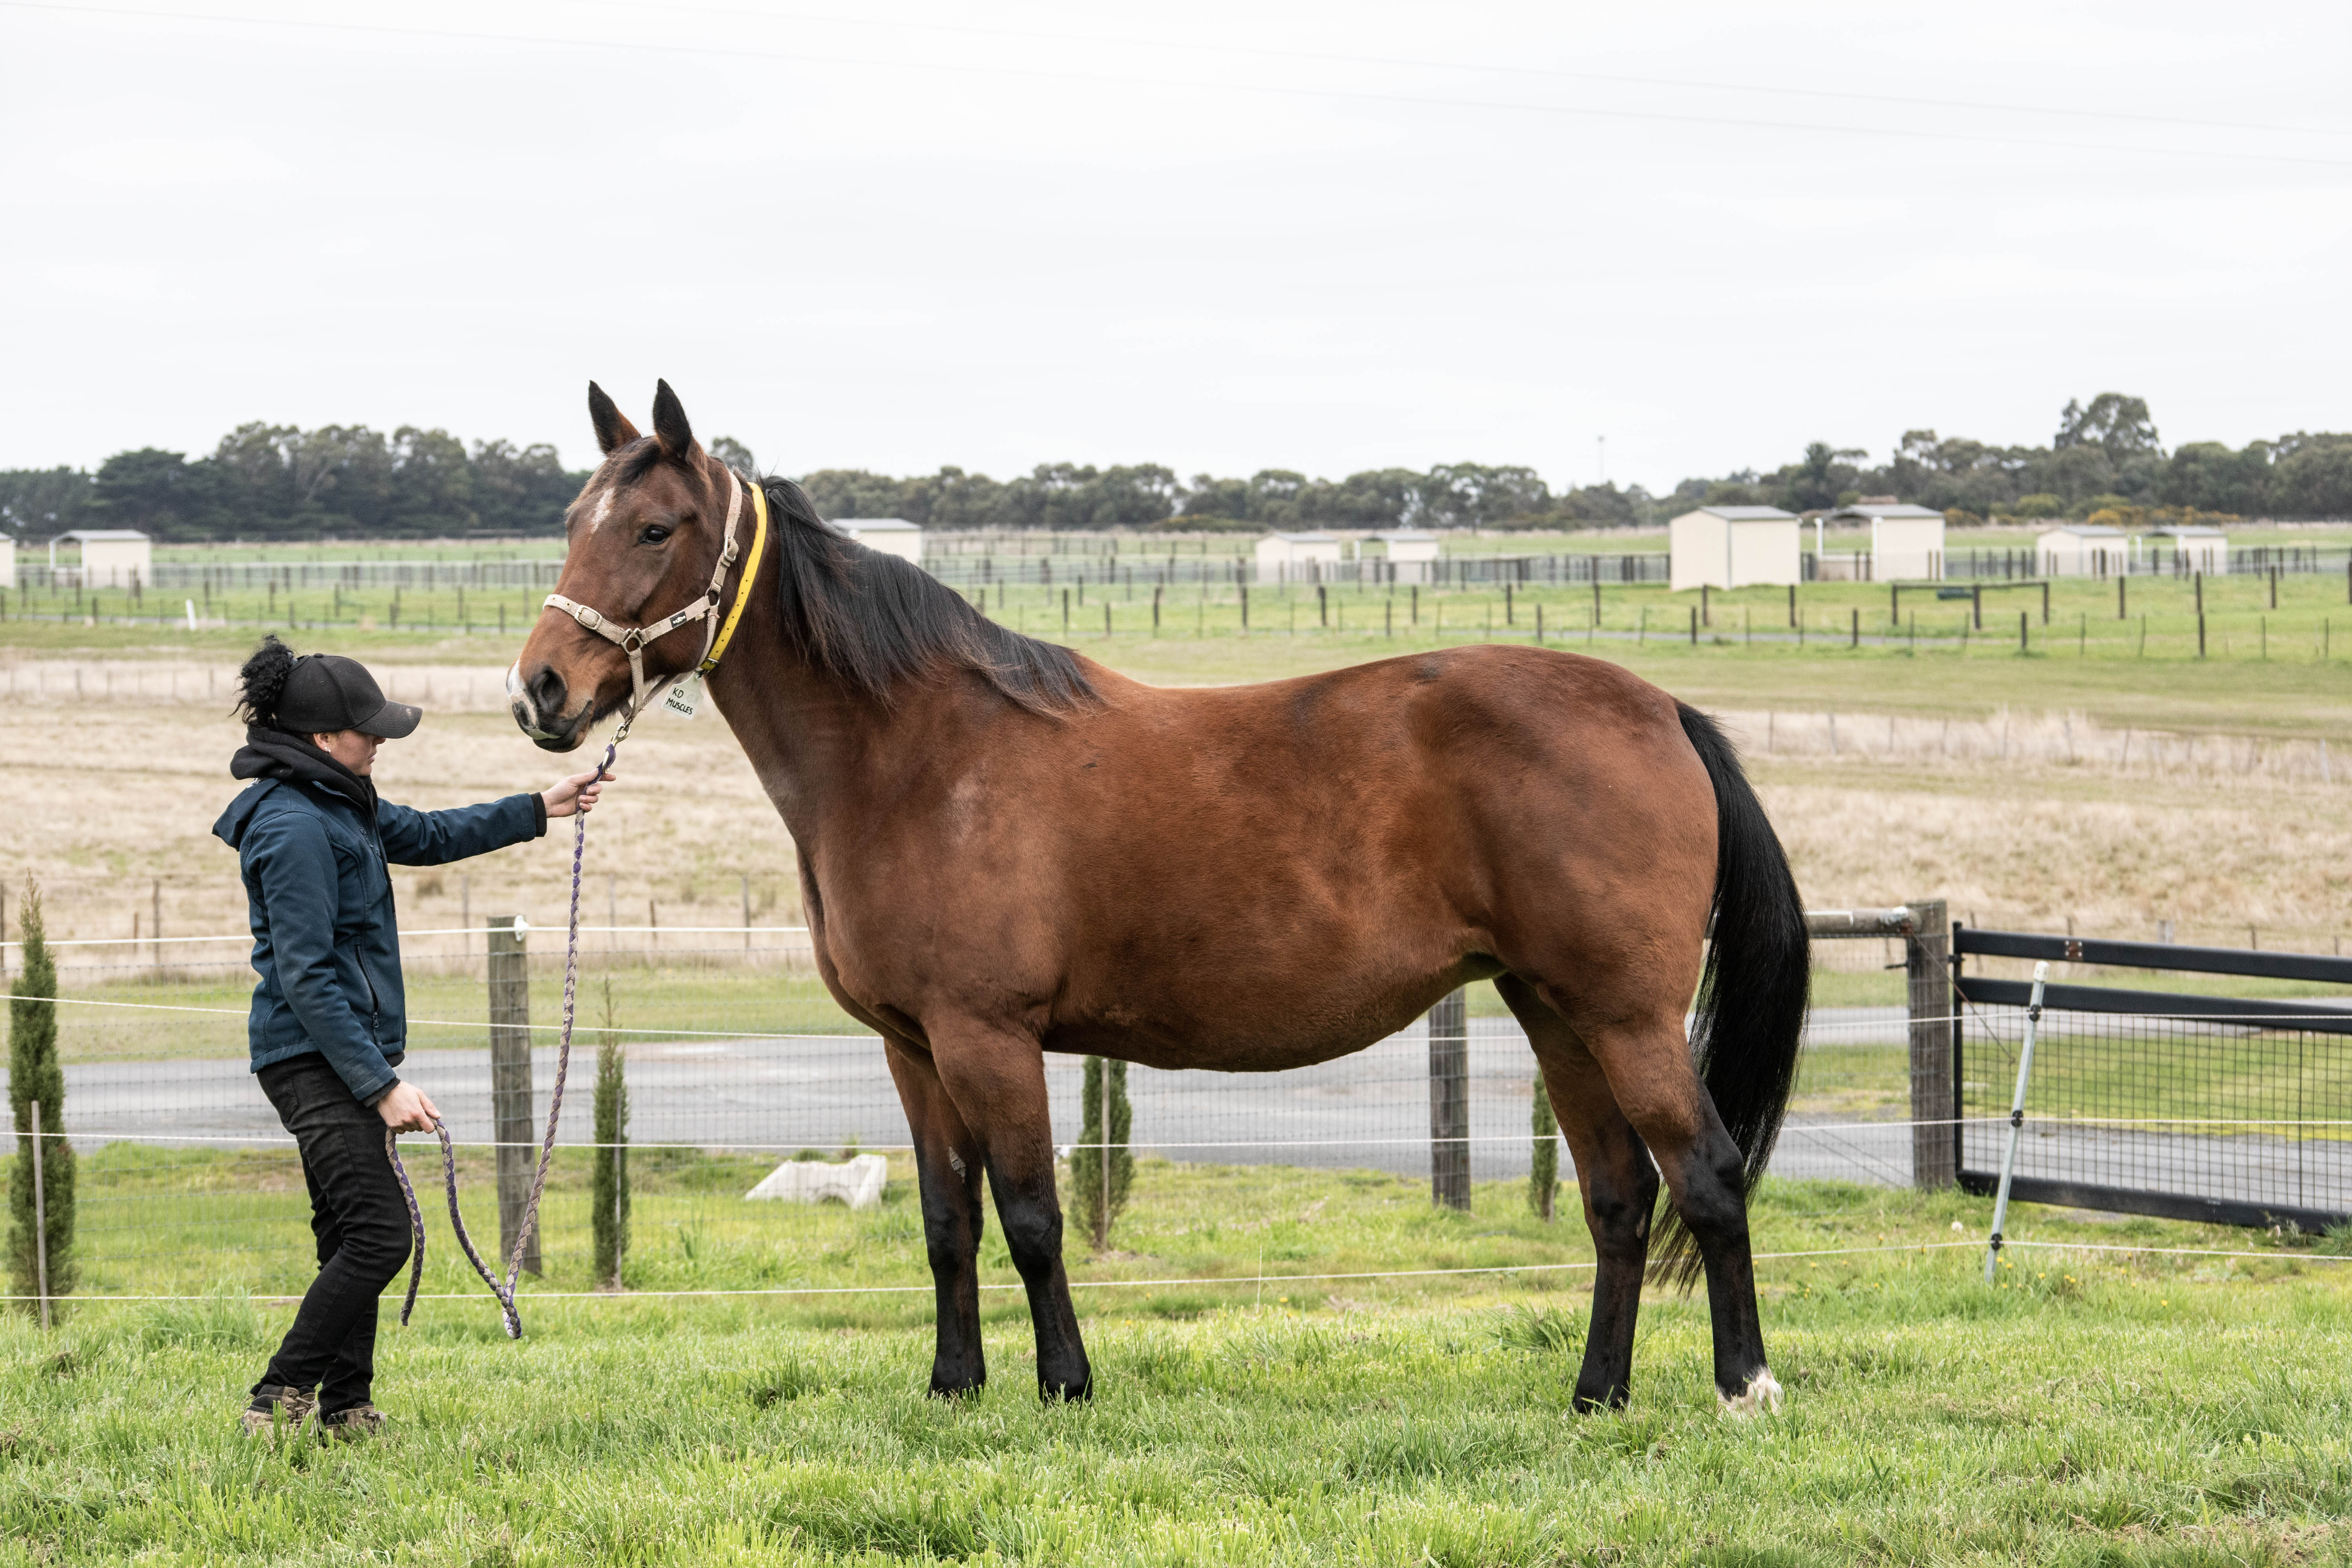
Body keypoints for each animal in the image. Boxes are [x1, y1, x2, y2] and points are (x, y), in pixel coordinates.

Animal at [510, 381, 1810, 1413]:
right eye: (570, 523)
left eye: (655, 526)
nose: (540, 691)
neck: (917, 755)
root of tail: (1660, 709)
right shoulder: (911, 1048)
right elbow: (946, 1223)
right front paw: (953, 1385)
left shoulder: (987, 1036)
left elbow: (1031, 1217)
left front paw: (1063, 1385)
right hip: (1554, 1010)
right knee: (1617, 1197)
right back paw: (1596, 1395)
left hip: (1627, 1016)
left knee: (1705, 1178)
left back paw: (1743, 1389)